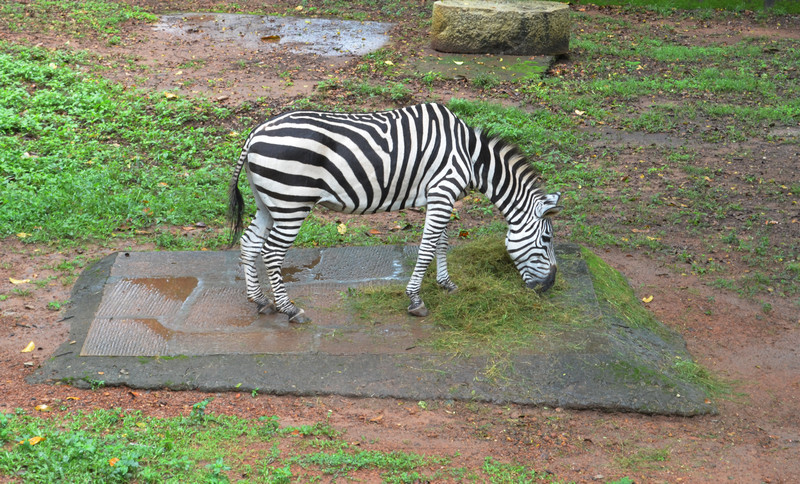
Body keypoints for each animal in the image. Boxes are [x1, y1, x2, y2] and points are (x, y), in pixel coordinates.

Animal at [227, 102, 564, 324]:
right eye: (547, 239)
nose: (548, 287)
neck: (469, 157)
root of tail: (256, 132)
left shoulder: (438, 195)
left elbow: (441, 243)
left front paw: (446, 284)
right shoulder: (443, 191)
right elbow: (427, 248)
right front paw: (415, 299)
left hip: (268, 201)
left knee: (249, 243)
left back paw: (260, 301)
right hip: (292, 202)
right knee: (271, 252)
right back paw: (290, 309)